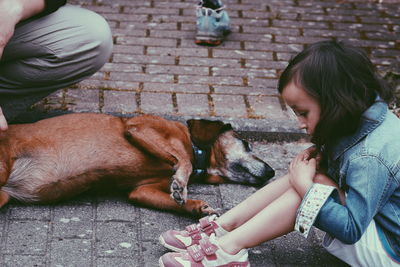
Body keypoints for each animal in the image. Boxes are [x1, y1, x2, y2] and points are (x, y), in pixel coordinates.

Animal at [0, 114, 276, 217]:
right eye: (246, 143)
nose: (273, 172)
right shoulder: (139, 127)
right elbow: (181, 159)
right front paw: (180, 183)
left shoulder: (141, 191)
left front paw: (196, 206)